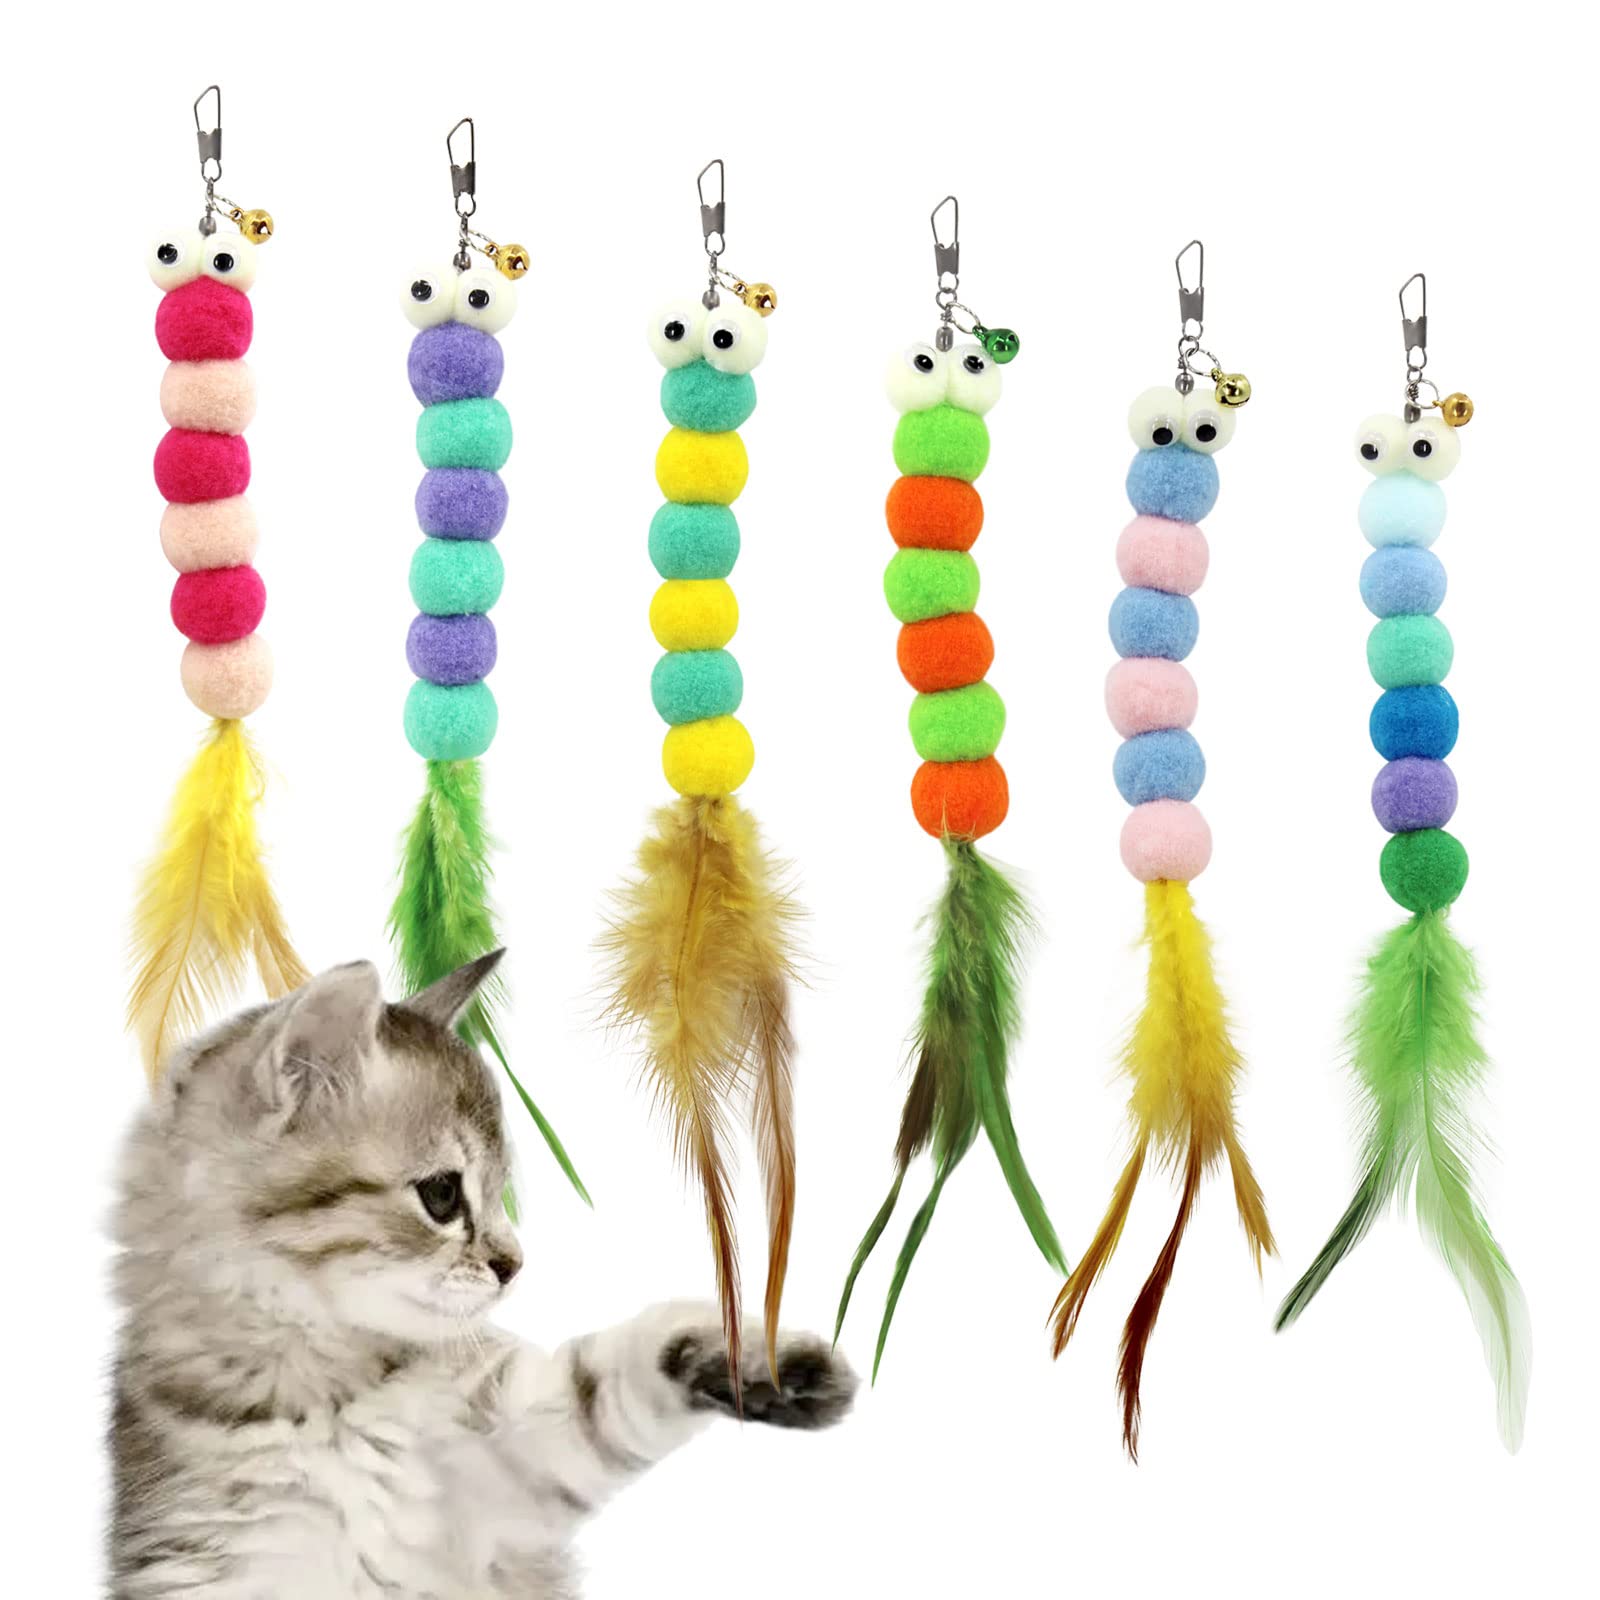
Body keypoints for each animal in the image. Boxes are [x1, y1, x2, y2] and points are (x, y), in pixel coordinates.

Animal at [109, 953, 856, 1599]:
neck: (330, 1393)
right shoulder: (204, 1563)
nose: (514, 1264)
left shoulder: (508, 1457)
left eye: (500, 1192)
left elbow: (610, 1378)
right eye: (442, 1195)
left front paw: (760, 1361)